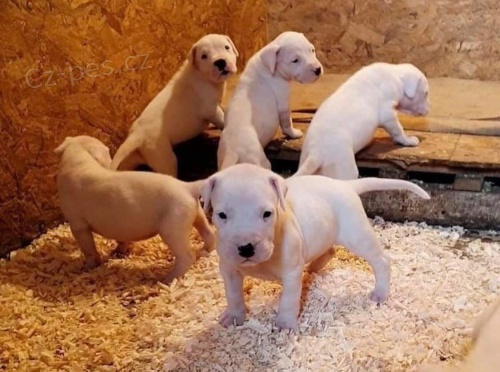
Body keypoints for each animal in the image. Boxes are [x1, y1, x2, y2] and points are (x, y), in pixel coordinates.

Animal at [55, 135, 215, 280]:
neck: (78, 160)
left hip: (174, 228)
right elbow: (121, 240)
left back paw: (166, 279)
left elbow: (88, 248)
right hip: (197, 214)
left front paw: (88, 267)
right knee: (208, 233)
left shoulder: (78, 224)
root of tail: (188, 187)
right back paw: (205, 251)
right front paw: (117, 252)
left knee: (187, 256)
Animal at [112, 33, 239, 176]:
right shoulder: (210, 109)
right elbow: (221, 118)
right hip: (163, 156)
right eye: (204, 56)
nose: (220, 61)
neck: (201, 75)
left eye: (226, 47)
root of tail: (135, 135)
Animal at [201, 164, 428, 330]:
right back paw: (313, 268)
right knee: (329, 251)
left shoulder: (292, 273)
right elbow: (233, 294)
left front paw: (285, 325)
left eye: (267, 214)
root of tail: (347, 186)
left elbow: (289, 300)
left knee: (381, 261)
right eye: (221, 215)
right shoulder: (228, 269)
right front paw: (234, 316)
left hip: (357, 234)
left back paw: (380, 293)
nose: (246, 248)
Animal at [217, 31, 322, 169]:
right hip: (259, 160)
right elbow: (287, 122)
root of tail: (232, 152)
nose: (318, 69)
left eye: (312, 50)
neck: (268, 65)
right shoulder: (283, 102)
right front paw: (294, 133)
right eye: (295, 61)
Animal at [296, 62, 430, 180]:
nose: (429, 110)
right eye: (426, 93)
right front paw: (409, 140)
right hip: (344, 169)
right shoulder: (388, 114)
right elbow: (398, 129)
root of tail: (316, 153)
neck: (395, 75)